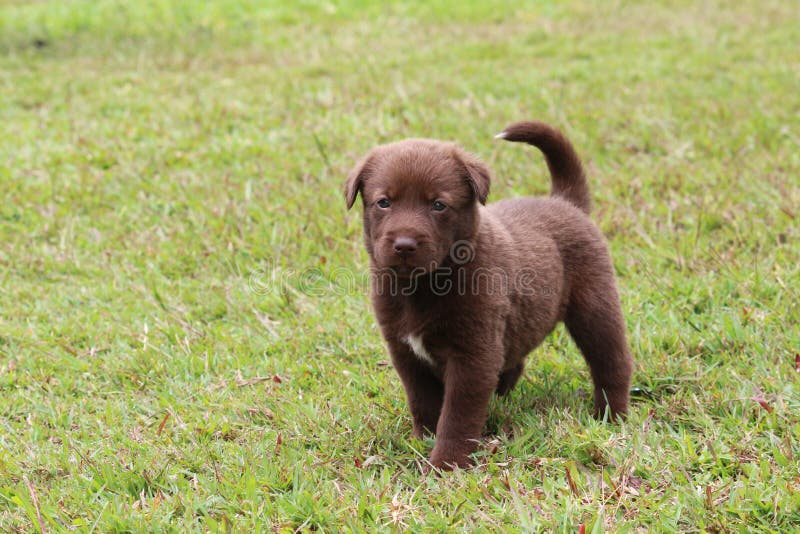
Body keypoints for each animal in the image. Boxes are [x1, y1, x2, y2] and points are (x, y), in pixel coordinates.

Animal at [344, 120, 632, 468]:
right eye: (384, 202)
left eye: (438, 204)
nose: (404, 245)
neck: (423, 287)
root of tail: (564, 201)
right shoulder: (406, 352)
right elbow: (423, 401)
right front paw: (422, 440)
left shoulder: (473, 354)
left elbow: (458, 414)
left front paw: (447, 463)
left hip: (595, 306)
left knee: (612, 361)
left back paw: (611, 416)